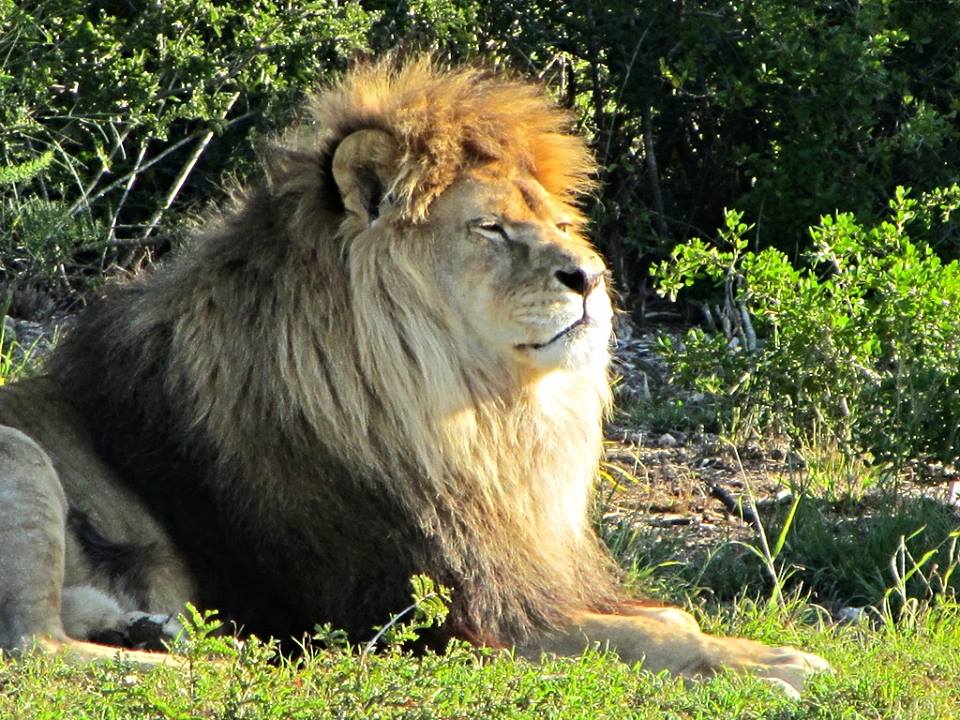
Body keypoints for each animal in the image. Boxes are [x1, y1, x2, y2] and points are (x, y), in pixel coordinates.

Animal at [0, 57, 827, 693]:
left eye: (560, 225)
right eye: (491, 227)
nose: (591, 278)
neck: (481, 417)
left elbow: (671, 615)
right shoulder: (447, 614)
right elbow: (651, 635)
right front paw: (782, 665)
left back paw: (149, 629)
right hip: (25, 458)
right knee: (34, 648)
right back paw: (211, 659)